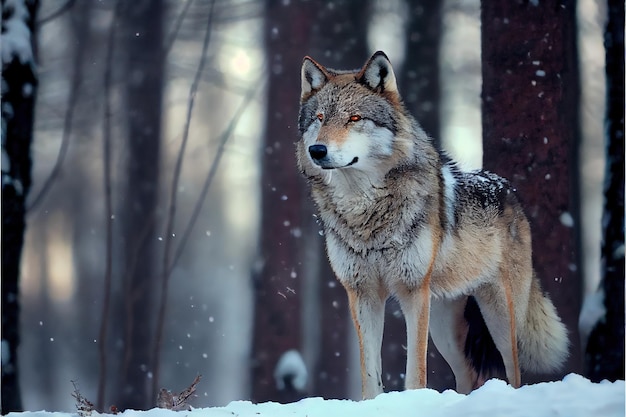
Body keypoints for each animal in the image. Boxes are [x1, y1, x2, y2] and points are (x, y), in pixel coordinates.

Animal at [294, 50, 568, 398]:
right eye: (319, 118)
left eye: (354, 119)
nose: (317, 150)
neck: (364, 208)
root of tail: (507, 188)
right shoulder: (362, 293)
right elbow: (370, 373)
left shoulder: (413, 291)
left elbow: (416, 370)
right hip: (444, 327)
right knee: (468, 375)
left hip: (498, 316)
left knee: (513, 373)